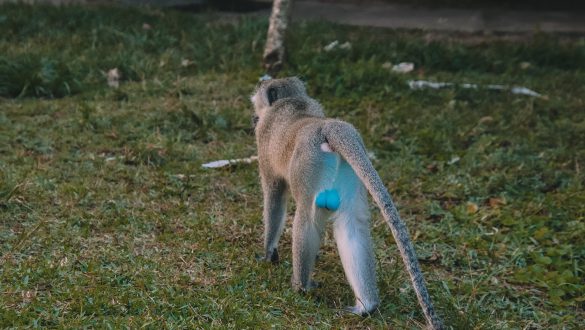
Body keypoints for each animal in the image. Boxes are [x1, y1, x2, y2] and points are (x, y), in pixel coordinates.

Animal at [249, 76, 440, 328]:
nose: (253, 116)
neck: (295, 102)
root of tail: (329, 126)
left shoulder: (263, 139)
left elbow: (274, 195)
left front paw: (267, 254)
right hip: (349, 173)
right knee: (352, 225)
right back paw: (366, 306)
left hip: (310, 165)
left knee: (306, 218)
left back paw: (301, 287)